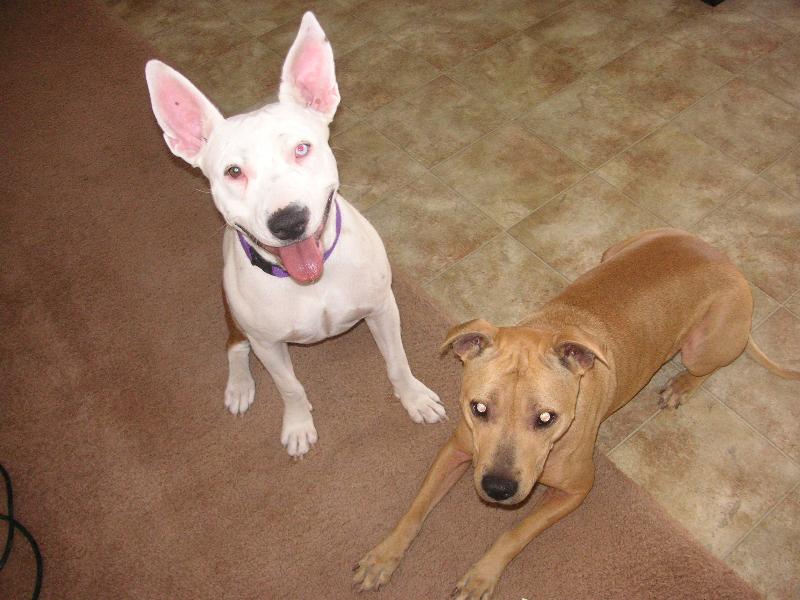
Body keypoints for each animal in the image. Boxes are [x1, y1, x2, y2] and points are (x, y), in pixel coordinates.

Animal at [144, 12, 445, 458]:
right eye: (234, 171)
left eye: (302, 149)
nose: (288, 221)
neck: (311, 282)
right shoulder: (268, 345)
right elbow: (290, 387)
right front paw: (299, 425)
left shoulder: (383, 308)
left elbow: (397, 362)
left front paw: (415, 398)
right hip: (233, 312)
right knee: (234, 345)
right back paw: (239, 385)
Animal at [354, 229, 799, 599]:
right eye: (478, 408)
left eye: (546, 418)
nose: (498, 488)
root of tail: (727, 262)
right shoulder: (457, 450)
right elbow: (416, 508)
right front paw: (382, 557)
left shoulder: (577, 489)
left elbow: (514, 533)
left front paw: (482, 575)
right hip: (616, 250)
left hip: (703, 346)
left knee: (711, 365)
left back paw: (680, 386)